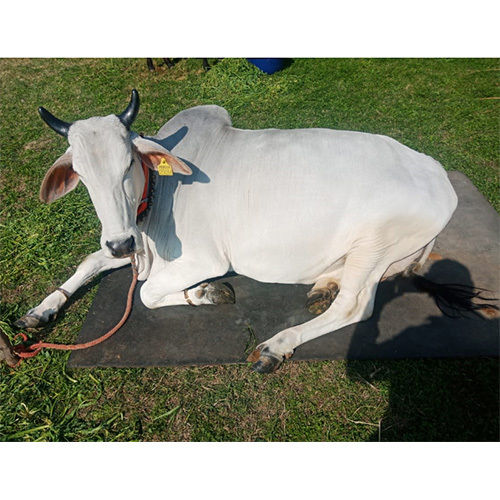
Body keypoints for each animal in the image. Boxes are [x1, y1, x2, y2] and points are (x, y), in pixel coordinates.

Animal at [17, 90, 458, 372]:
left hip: (374, 243)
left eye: (128, 163)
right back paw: (322, 287)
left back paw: (277, 345)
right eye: (81, 174)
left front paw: (205, 293)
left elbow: (145, 293)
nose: (119, 240)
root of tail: (439, 177)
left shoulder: (203, 258)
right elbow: (91, 260)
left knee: (355, 305)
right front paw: (41, 310)